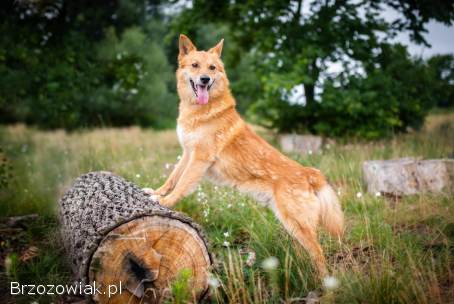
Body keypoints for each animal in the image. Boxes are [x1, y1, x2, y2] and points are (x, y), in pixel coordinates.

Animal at [145, 34, 344, 276]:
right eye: (195, 65)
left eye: (212, 68)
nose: (205, 80)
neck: (204, 110)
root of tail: (310, 174)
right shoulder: (187, 154)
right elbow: (173, 178)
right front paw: (157, 192)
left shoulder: (199, 159)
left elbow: (182, 185)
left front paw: (164, 202)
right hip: (293, 227)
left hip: (298, 225)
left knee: (320, 255)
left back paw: (323, 282)